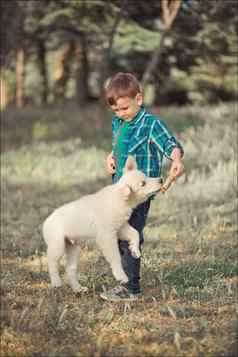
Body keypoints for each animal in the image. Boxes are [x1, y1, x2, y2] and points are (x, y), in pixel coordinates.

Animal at [42, 156, 162, 292]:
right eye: (143, 184)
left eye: (146, 176)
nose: (161, 180)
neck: (119, 199)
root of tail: (46, 221)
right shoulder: (107, 237)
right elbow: (115, 257)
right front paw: (121, 276)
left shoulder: (121, 228)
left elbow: (134, 233)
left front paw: (134, 249)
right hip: (57, 245)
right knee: (51, 261)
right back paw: (56, 282)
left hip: (73, 247)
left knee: (70, 269)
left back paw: (78, 289)